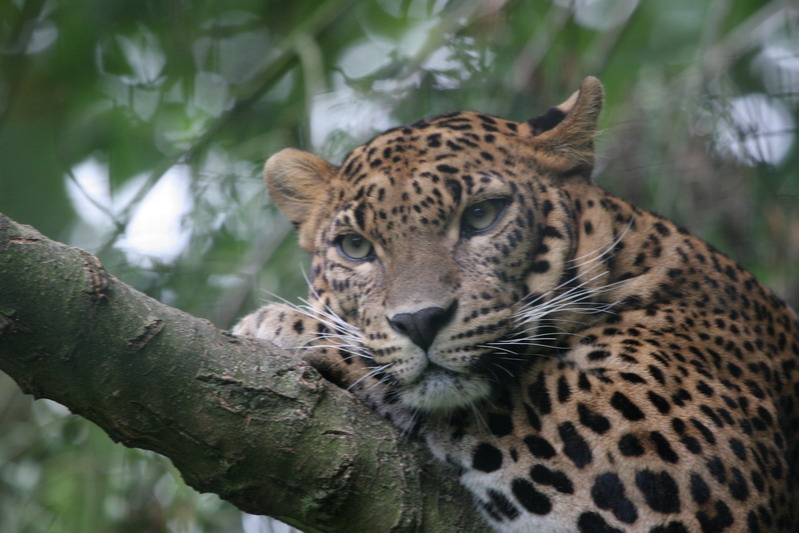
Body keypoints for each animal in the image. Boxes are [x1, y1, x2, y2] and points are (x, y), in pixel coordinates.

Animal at [234, 77, 799, 528]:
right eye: (355, 247)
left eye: (482, 216)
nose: (420, 322)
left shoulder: (665, 455)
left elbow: (498, 395)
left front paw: (282, 325)